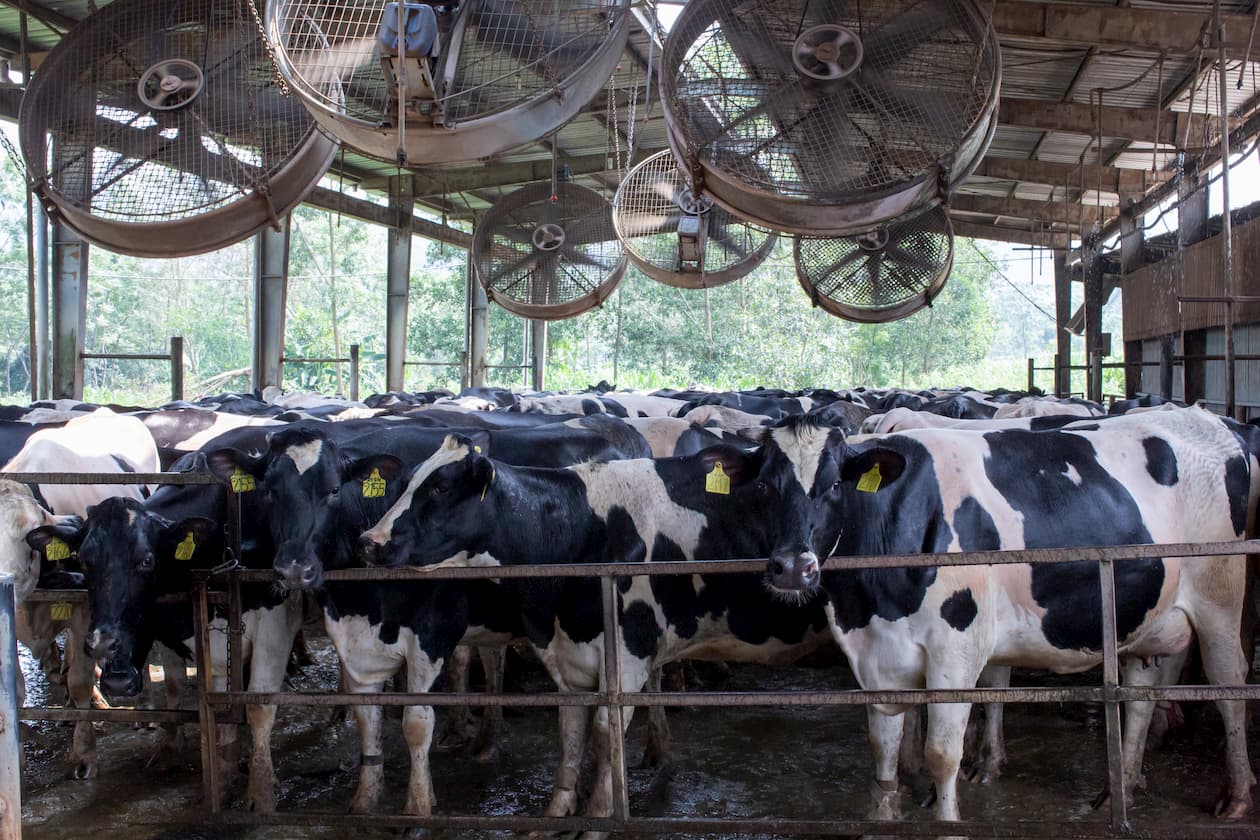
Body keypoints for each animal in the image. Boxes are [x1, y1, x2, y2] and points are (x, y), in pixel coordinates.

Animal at [360, 440, 831, 826]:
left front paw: (601, 814)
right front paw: (558, 812)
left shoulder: (629, 653)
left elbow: (607, 733)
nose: (369, 541)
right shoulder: (569, 654)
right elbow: (570, 733)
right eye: (407, 482)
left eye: (439, 489)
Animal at [740, 410, 1254, 826]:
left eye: (833, 485)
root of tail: (1210, 419)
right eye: (763, 486)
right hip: (1142, 612)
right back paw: (1119, 789)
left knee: (1230, 684)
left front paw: (948, 823)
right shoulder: (876, 654)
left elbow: (942, 754)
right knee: (1141, 695)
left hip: (1220, 595)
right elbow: (882, 751)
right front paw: (882, 819)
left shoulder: (956, 650)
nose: (794, 567)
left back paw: (1237, 796)